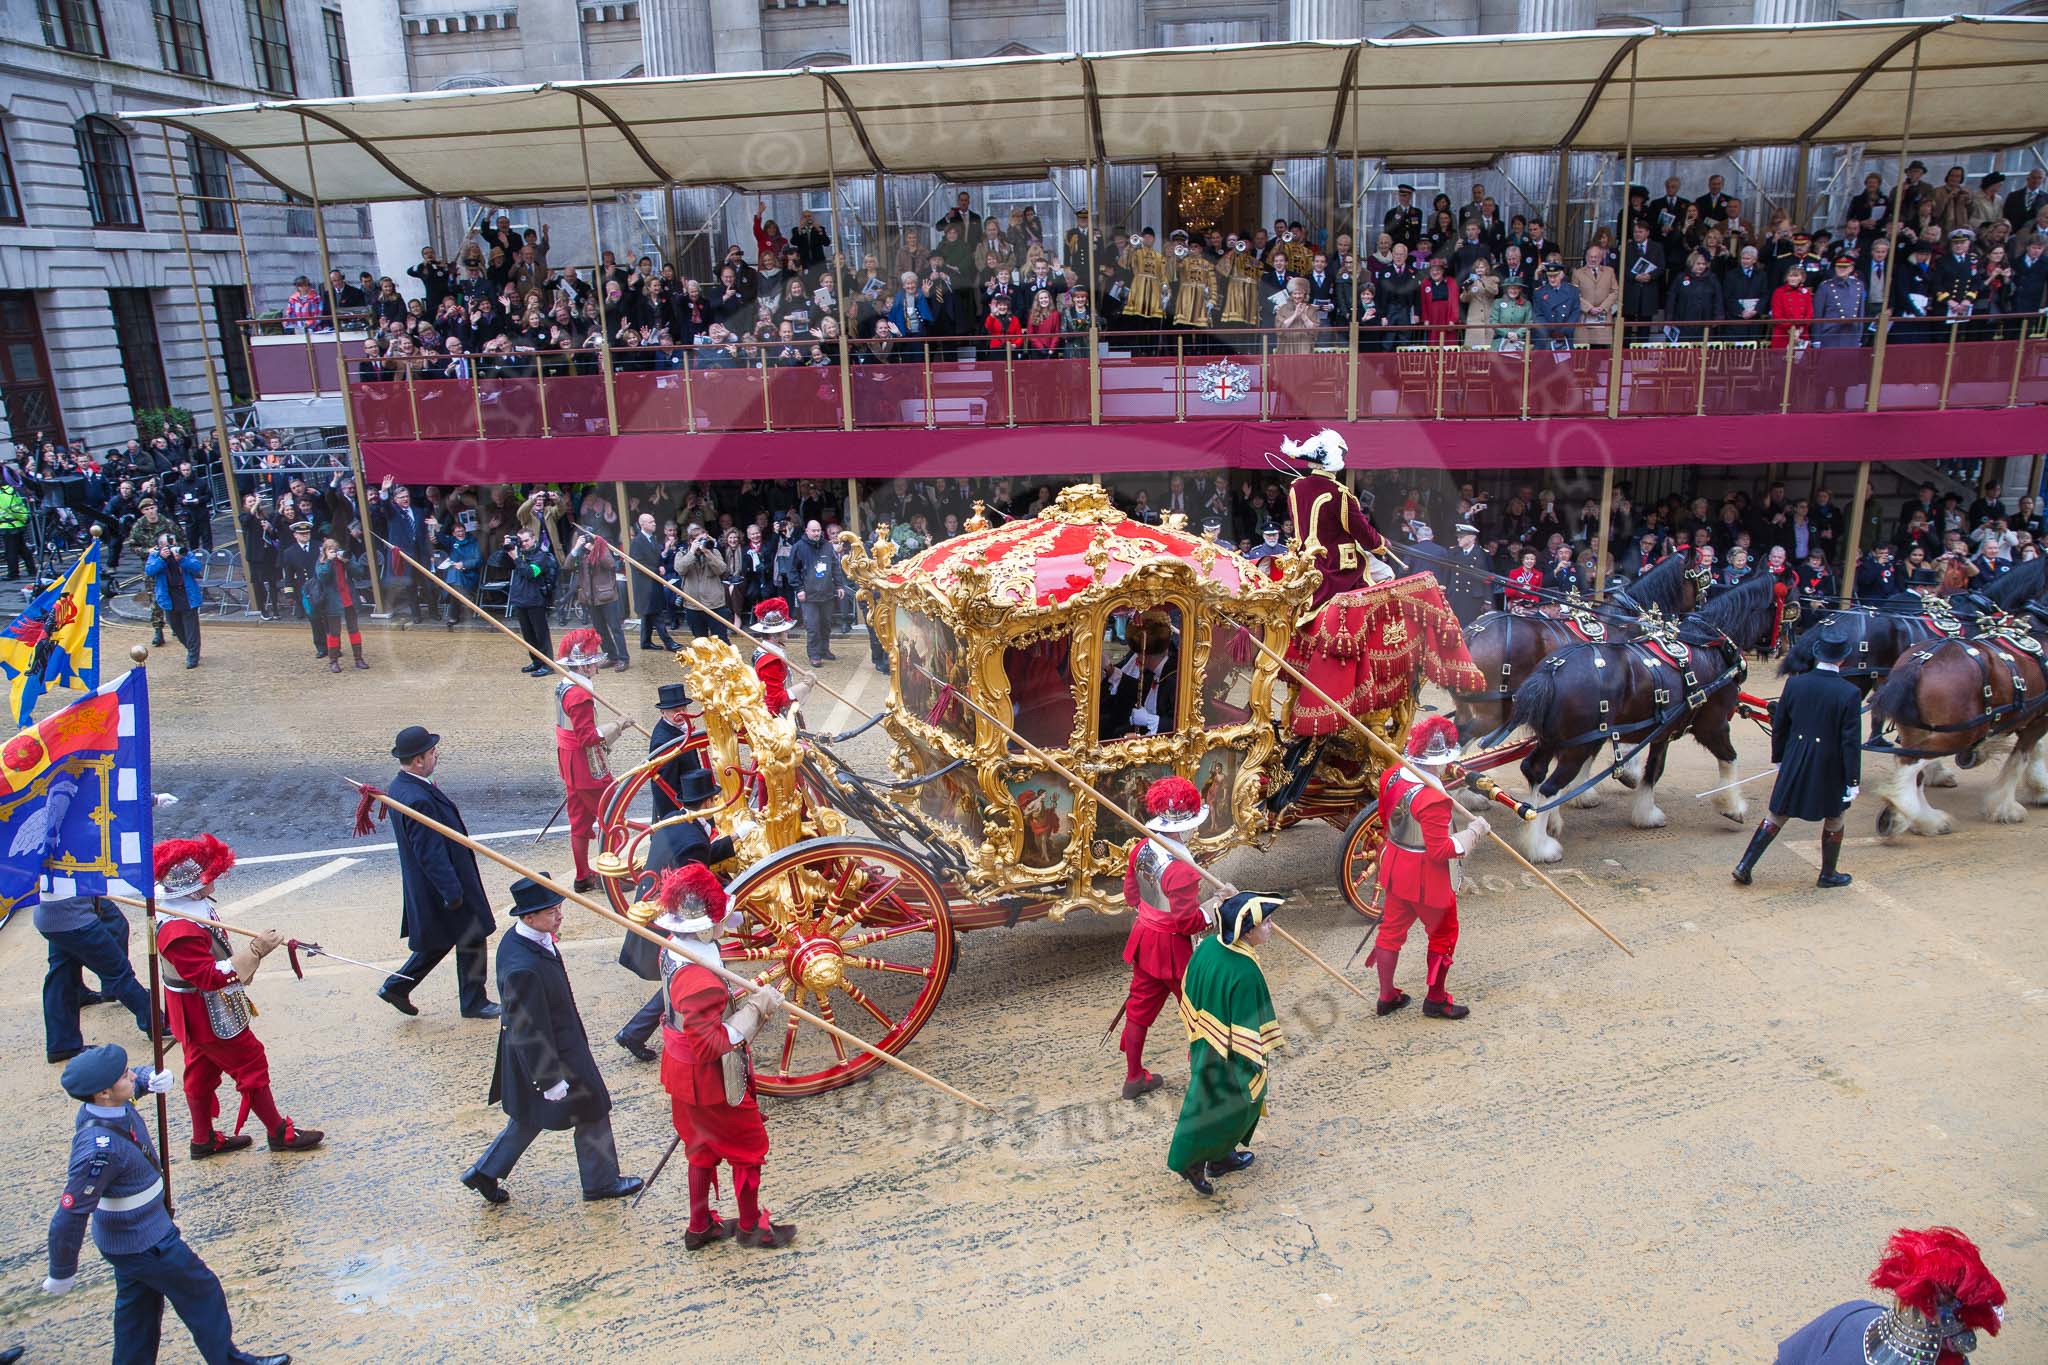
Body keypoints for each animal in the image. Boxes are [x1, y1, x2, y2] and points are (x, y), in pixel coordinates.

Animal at [1499, 573, 1785, 859]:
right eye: (1788, 605)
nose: (1779, 646)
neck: (1709, 647)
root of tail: (1551, 671)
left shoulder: (1663, 731)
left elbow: (1654, 770)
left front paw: (1646, 813)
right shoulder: (1713, 725)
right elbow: (1730, 759)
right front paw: (1732, 806)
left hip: (1553, 740)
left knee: (1535, 772)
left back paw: (1544, 826)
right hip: (1576, 746)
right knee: (1549, 787)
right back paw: (1541, 848)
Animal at [1875, 601, 2048, 839]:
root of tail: (1921, 662)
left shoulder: (2029, 716)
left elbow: (2034, 751)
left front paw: (2039, 788)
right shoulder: (2039, 719)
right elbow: (2020, 759)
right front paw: (2005, 807)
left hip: (1916, 730)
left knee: (1911, 768)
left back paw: (1923, 818)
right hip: (1958, 734)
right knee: (1911, 762)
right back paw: (1909, 810)